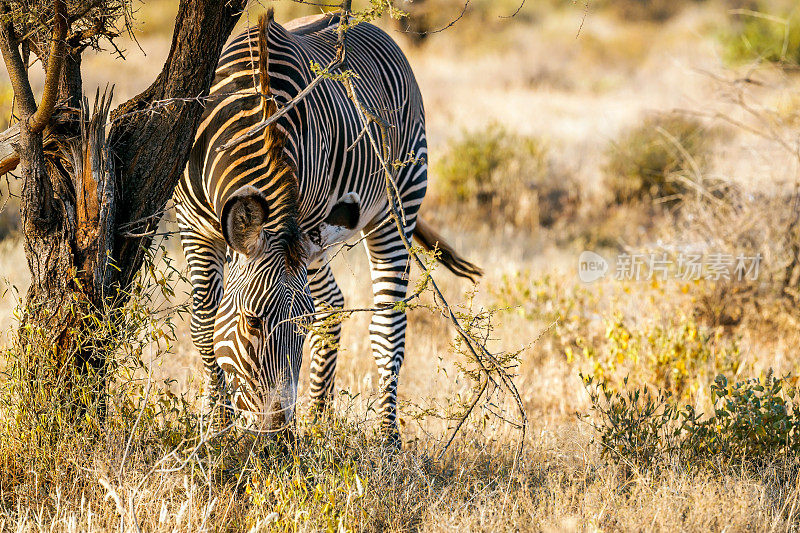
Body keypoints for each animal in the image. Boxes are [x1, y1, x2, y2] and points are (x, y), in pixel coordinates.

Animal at [173, 9, 482, 440]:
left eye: (300, 325)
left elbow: (319, 313)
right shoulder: (193, 224)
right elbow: (203, 321)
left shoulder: (302, 219)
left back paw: (386, 439)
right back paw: (319, 422)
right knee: (334, 304)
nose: (276, 435)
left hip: (396, 203)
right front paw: (216, 425)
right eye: (252, 321)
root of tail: (370, 27)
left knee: (385, 325)